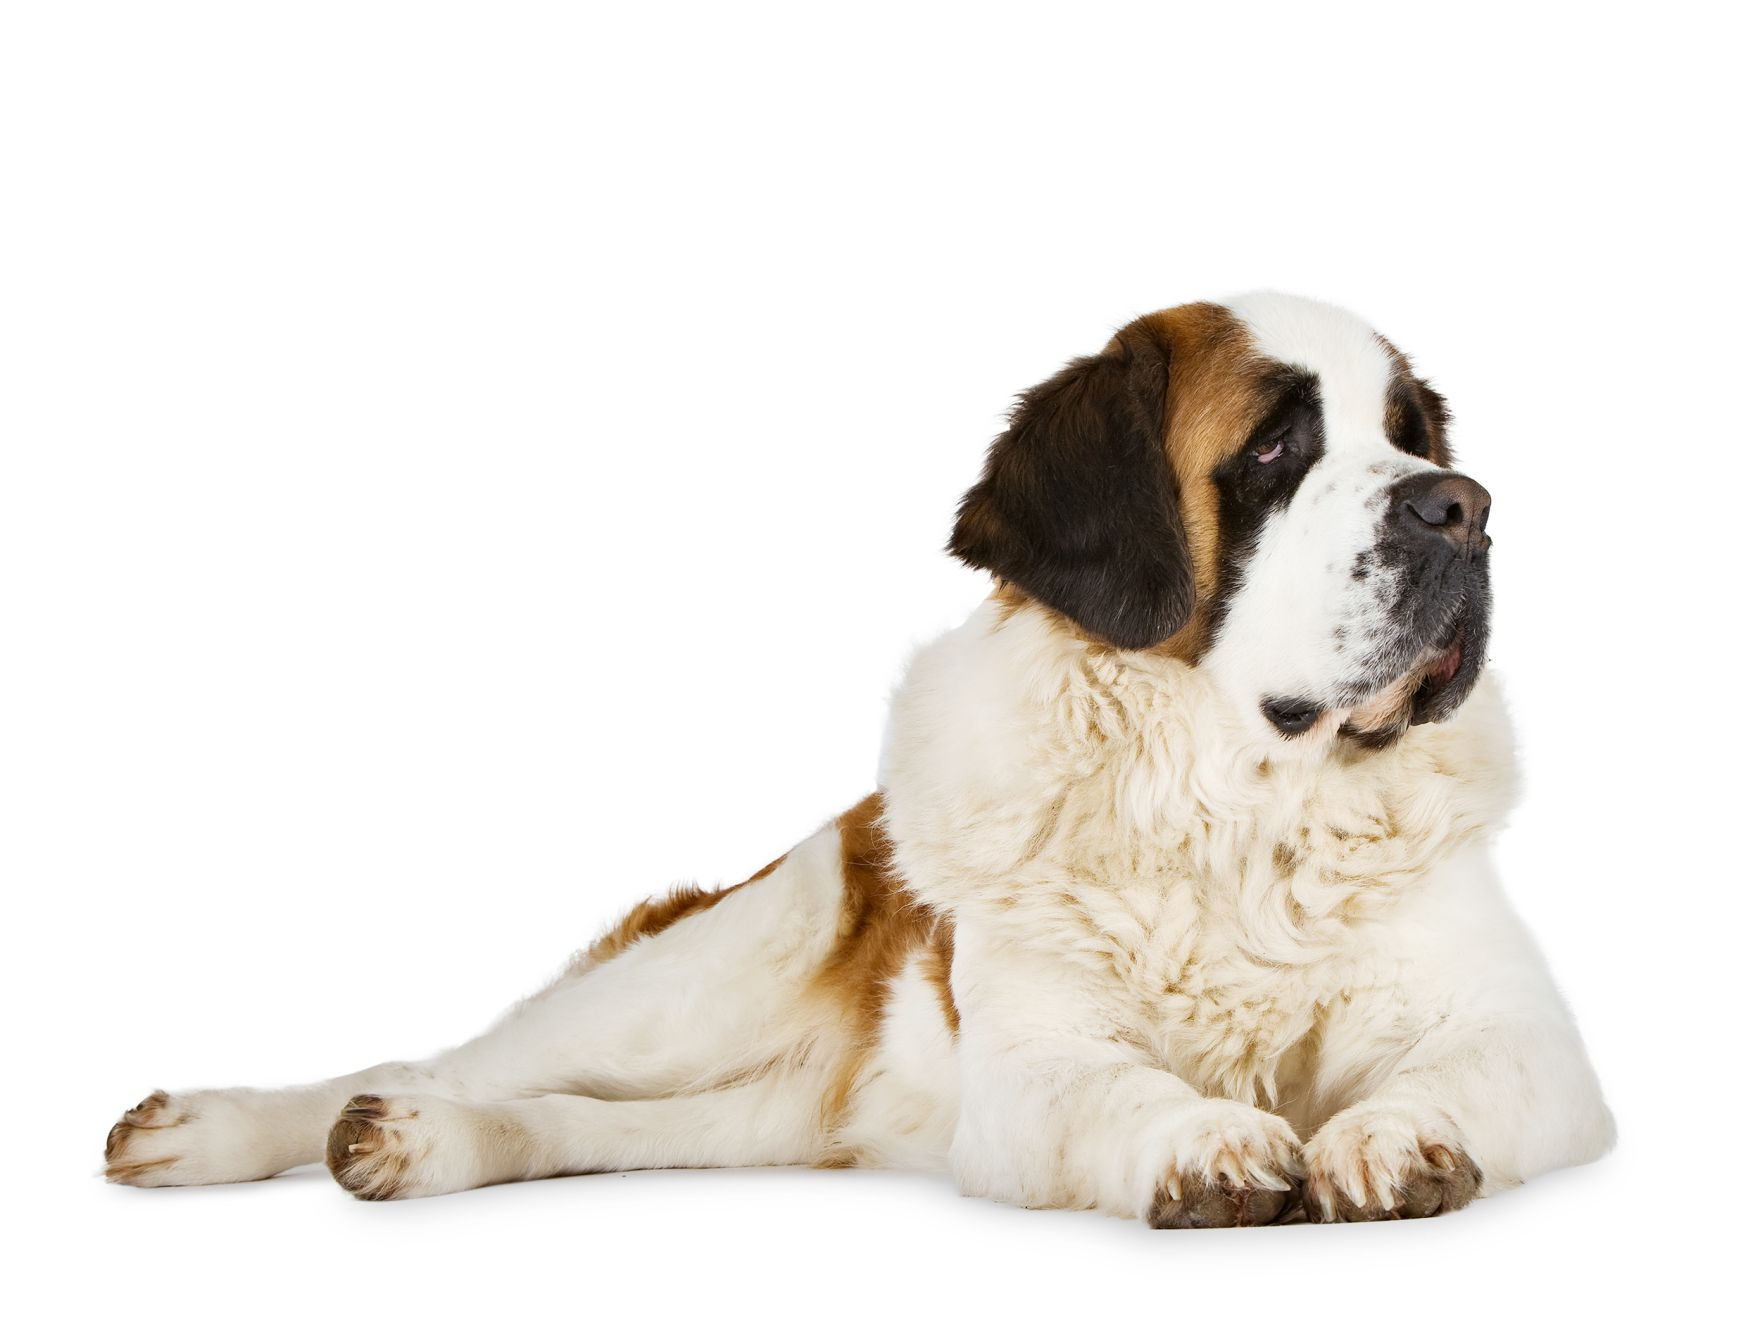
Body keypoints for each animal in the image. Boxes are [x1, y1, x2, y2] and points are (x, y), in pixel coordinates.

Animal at [102, 293, 1612, 1239]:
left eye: (1413, 436)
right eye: (1276, 448)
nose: (1461, 510)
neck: (1239, 803)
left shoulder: (1534, 1047)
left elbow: (1470, 1066)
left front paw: (1392, 1135)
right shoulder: (1031, 1072)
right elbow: (1121, 1085)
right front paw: (1207, 1138)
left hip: (753, 1112)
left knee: (559, 1120)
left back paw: (423, 1147)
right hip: (700, 980)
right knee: (448, 1057)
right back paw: (245, 1128)